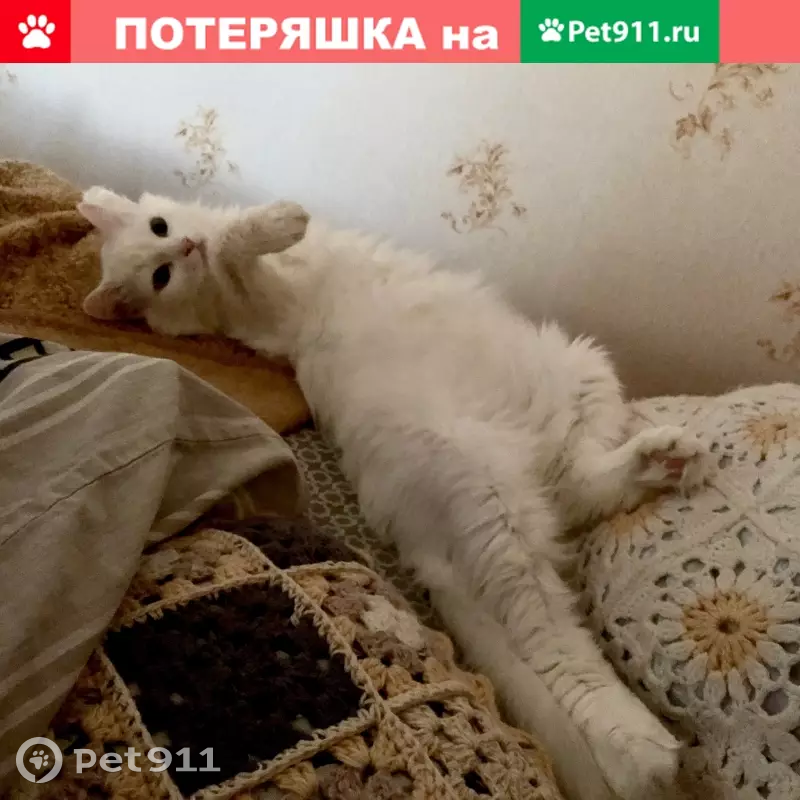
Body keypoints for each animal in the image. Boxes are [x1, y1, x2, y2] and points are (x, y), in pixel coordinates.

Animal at [79, 187, 715, 800]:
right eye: (161, 275)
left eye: (161, 229)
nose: (186, 246)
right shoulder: (264, 305)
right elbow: (240, 248)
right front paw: (278, 221)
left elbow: (238, 240)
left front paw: (262, 224)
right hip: (490, 497)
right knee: (552, 639)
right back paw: (637, 750)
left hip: (583, 373)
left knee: (579, 487)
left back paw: (663, 460)